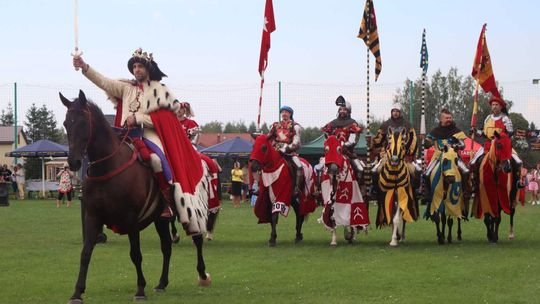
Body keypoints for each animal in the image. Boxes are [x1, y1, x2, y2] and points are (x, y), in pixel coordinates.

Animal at [60, 91, 210, 304]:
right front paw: (77, 293)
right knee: (166, 246)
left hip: (189, 210)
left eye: (83, 122)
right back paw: (162, 283)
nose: (73, 162)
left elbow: (135, 254)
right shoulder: (92, 217)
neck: (109, 167)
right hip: (161, 219)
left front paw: (140, 290)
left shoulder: (131, 219)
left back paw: (203, 275)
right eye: (66, 123)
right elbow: (85, 253)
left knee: (197, 239)